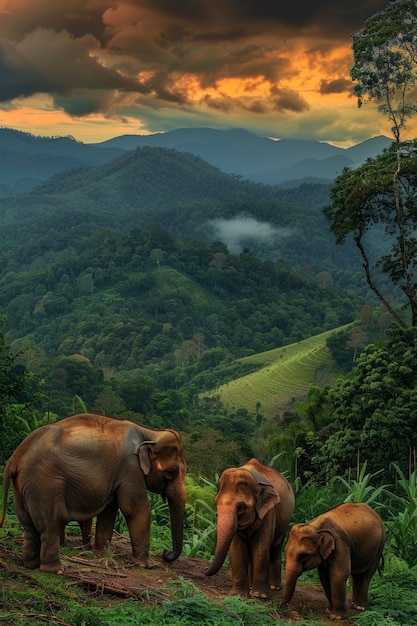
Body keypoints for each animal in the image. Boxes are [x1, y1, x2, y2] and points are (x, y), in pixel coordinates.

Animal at [0, 412, 185, 572]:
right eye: (171, 472)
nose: (166, 553)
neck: (150, 433)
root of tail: (15, 457)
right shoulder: (130, 468)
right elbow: (135, 509)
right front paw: (143, 565)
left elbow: (110, 509)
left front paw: (101, 553)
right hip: (45, 484)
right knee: (51, 524)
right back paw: (55, 570)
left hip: (22, 486)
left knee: (29, 527)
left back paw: (30, 565)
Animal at [204, 456, 292, 596]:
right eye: (215, 503)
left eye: (241, 508)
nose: (205, 568)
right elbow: (237, 547)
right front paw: (238, 594)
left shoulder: (269, 511)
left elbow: (261, 546)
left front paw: (259, 595)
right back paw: (251, 586)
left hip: (283, 524)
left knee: (275, 548)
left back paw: (274, 587)